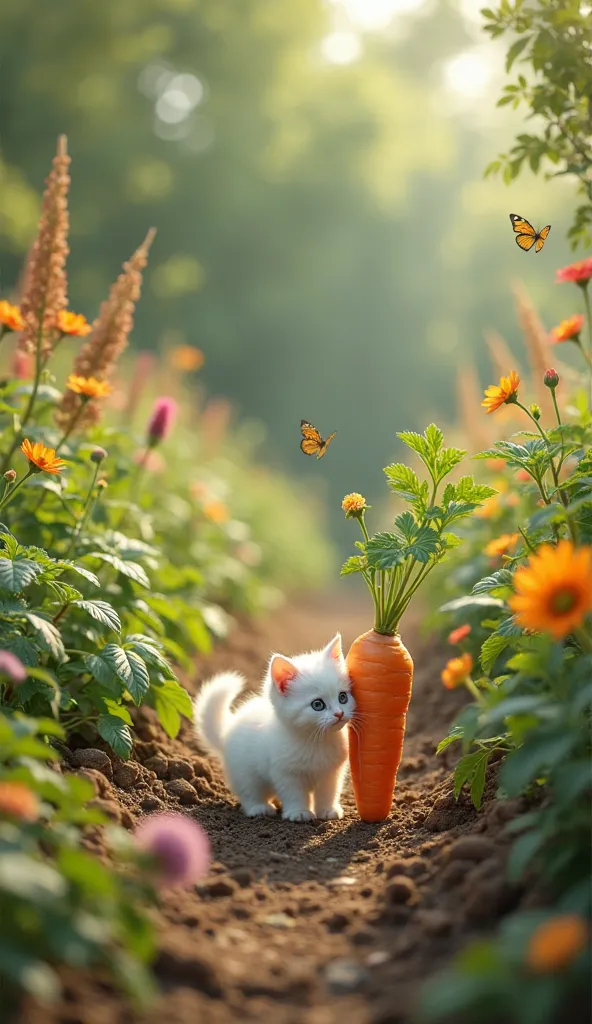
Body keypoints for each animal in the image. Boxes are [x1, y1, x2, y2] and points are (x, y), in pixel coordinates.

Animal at [191, 630, 352, 823]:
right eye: (317, 704)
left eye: (343, 697)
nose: (339, 713)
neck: (316, 740)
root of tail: (226, 732)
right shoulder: (284, 773)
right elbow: (293, 793)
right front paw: (298, 812)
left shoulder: (331, 774)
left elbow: (328, 793)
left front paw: (327, 810)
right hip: (244, 772)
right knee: (249, 791)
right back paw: (259, 808)